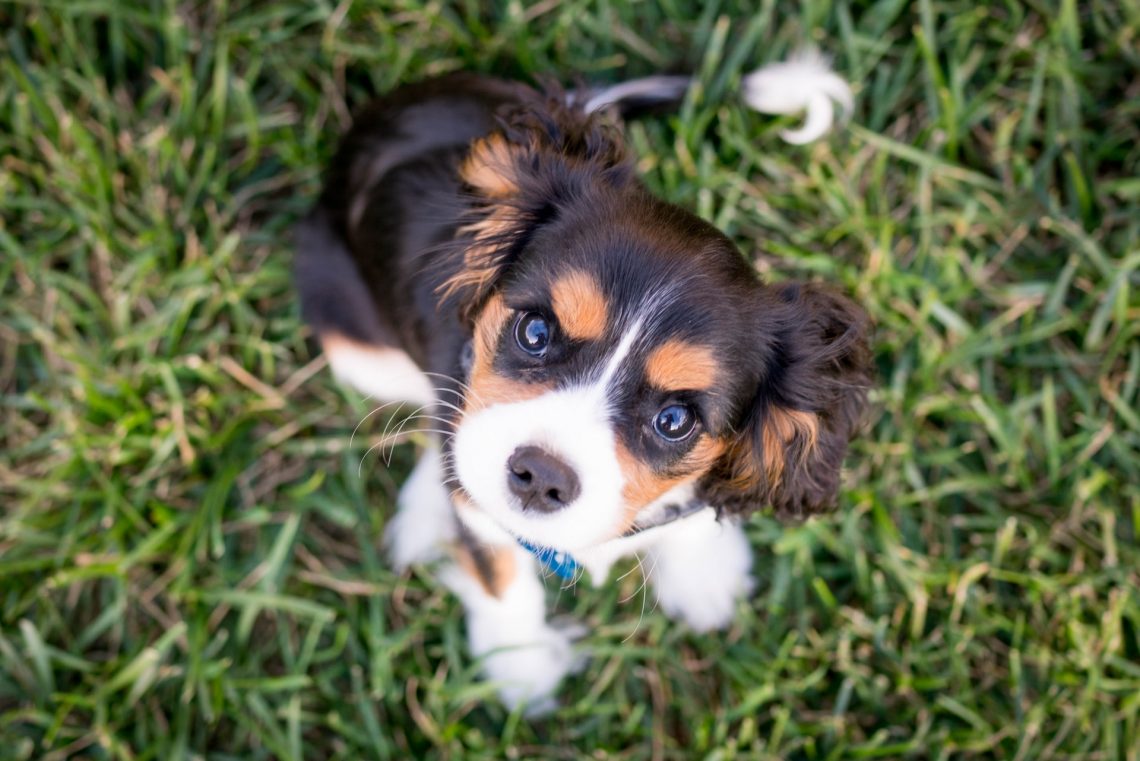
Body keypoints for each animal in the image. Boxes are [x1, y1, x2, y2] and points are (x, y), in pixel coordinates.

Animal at [294, 60, 870, 715]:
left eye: (675, 420)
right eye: (536, 332)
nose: (541, 476)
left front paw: (703, 574)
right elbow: (499, 571)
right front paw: (520, 671)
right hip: (353, 339)